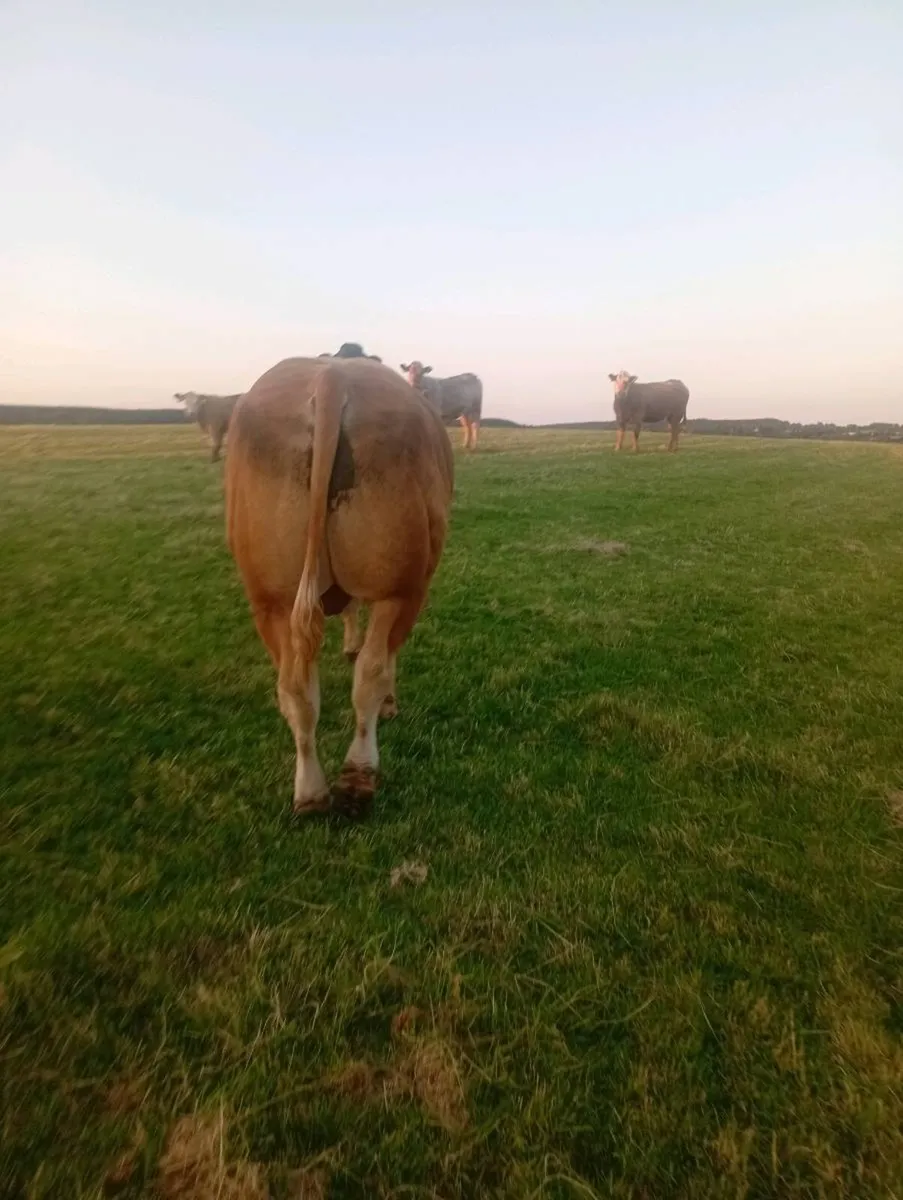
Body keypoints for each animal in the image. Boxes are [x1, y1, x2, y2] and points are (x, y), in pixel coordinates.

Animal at [224, 355, 454, 820]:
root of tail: (331, 376)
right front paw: (390, 702)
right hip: (399, 587)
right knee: (370, 674)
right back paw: (359, 774)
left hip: (269, 599)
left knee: (295, 688)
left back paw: (310, 792)